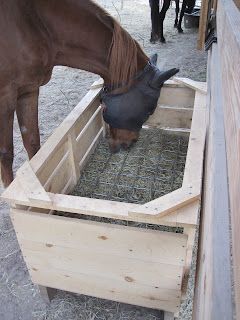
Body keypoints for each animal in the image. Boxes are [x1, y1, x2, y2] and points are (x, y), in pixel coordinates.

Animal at [0, 0, 176, 186]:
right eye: (149, 110)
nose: (131, 142)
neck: (34, 24)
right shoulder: (5, 98)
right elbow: (6, 154)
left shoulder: (29, 90)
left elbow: (33, 142)